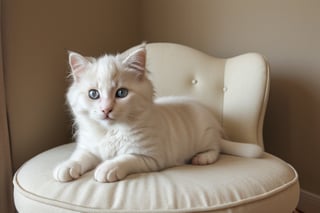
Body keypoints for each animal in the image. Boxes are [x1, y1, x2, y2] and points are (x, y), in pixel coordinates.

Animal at [53, 44, 262, 182]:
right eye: (93, 94)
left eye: (121, 93)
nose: (106, 109)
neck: (110, 131)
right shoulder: (88, 148)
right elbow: (80, 157)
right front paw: (66, 167)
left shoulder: (149, 158)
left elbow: (125, 159)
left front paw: (107, 168)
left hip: (206, 136)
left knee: (216, 148)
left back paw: (202, 158)